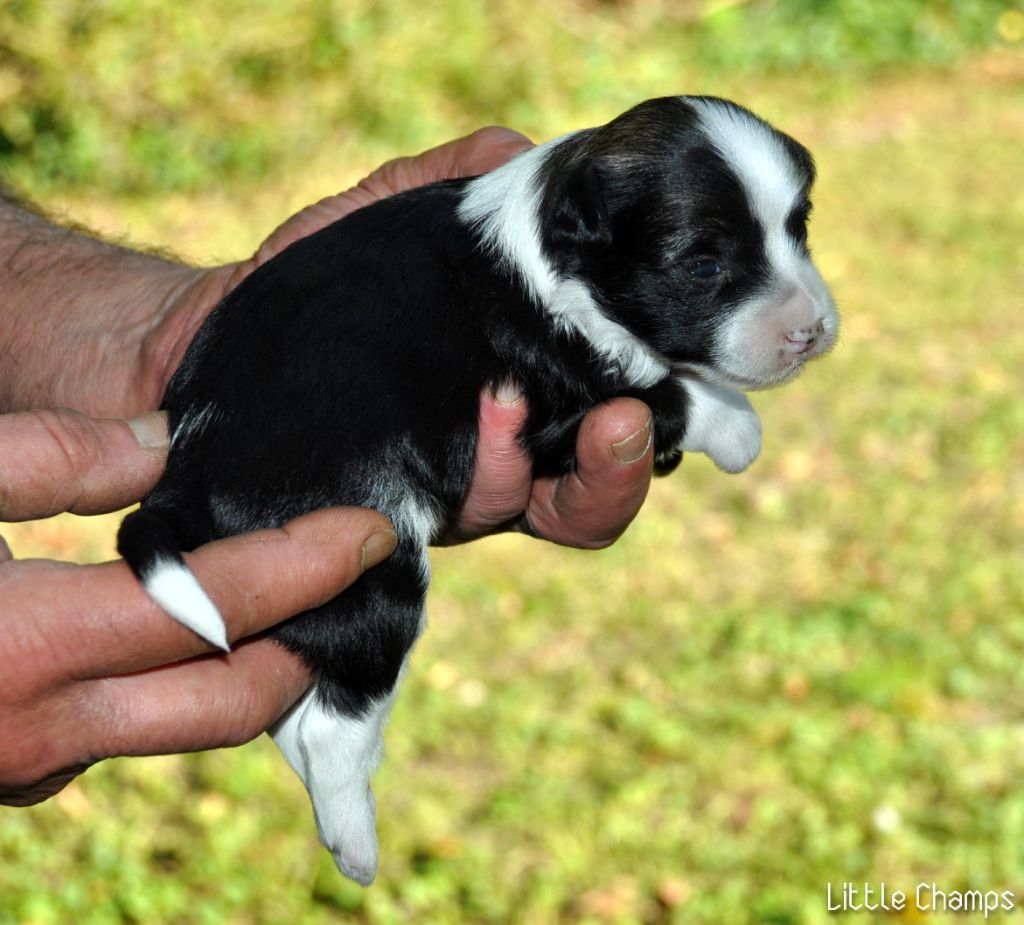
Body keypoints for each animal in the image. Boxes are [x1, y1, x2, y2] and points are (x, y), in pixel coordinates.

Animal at [117, 97, 839, 885]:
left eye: (800, 228)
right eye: (704, 264)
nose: (813, 332)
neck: (554, 252)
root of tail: (184, 473)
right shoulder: (552, 406)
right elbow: (664, 391)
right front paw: (738, 427)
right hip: (377, 569)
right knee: (332, 725)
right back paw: (356, 844)